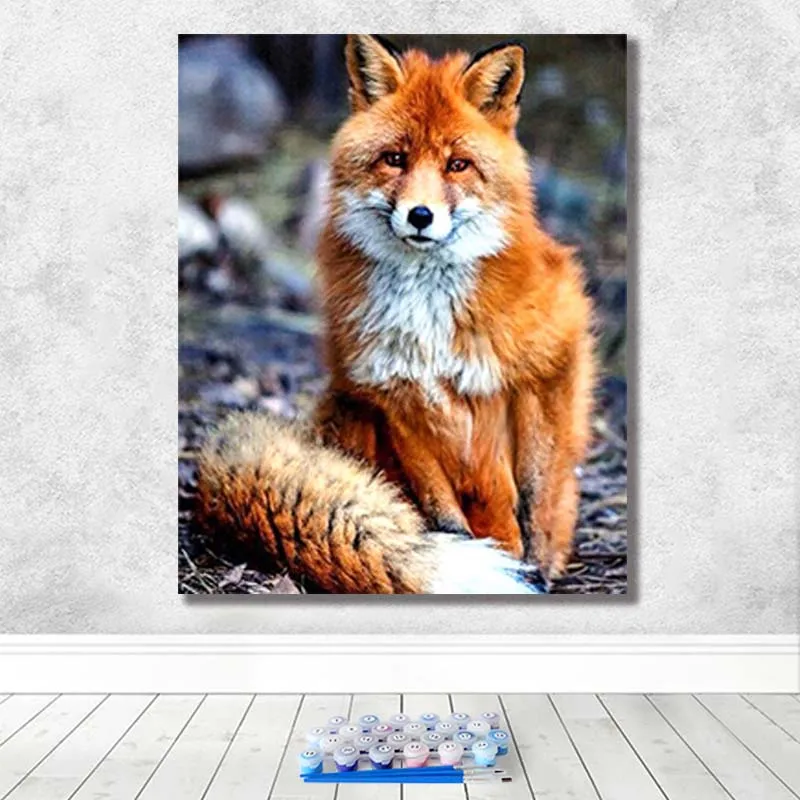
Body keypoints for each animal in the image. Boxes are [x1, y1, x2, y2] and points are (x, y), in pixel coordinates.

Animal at [194, 35, 595, 594]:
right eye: (395, 159)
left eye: (457, 165)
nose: (421, 216)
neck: (428, 316)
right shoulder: (392, 396)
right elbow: (442, 509)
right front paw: (469, 556)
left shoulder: (548, 362)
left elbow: (537, 492)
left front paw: (536, 563)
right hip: (348, 407)